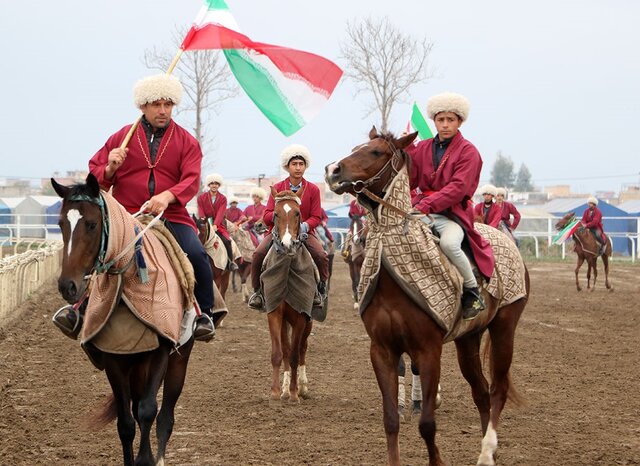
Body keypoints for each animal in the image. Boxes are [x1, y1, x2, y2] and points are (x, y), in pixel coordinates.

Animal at [51, 175, 192, 466]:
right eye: (60, 224)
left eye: (91, 224)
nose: (67, 286)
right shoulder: (114, 358)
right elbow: (126, 422)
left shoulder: (161, 351)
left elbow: (149, 410)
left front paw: (146, 459)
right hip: (136, 365)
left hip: (178, 359)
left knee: (165, 416)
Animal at [262, 187, 316, 402]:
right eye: (275, 214)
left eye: (297, 213)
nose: (286, 244)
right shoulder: (275, 313)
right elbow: (279, 353)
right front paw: (276, 392)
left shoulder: (301, 316)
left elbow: (294, 355)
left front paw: (294, 393)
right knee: (286, 349)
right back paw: (285, 388)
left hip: (308, 321)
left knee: (301, 349)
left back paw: (302, 386)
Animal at [324, 127, 528, 466]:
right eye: (355, 148)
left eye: (376, 152)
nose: (332, 170)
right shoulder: (382, 351)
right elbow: (391, 420)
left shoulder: (429, 351)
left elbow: (427, 424)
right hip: (467, 340)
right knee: (481, 392)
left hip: (504, 329)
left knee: (497, 389)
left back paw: (487, 452)